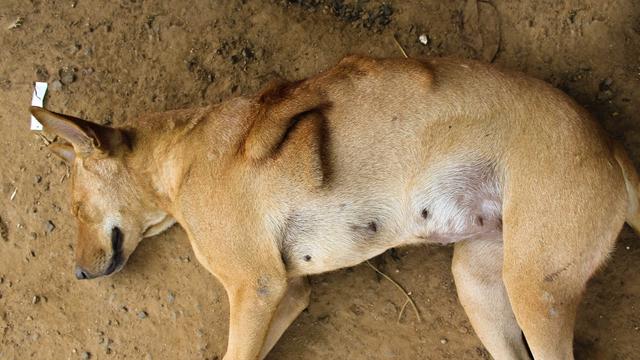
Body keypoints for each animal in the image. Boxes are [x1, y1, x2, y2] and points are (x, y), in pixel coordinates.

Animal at [31, 54, 640, 358]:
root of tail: (611, 145)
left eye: (77, 209)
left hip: (536, 289)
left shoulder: (255, 288)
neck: (177, 159)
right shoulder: (287, 292)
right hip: (480, 282)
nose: (78, 274)